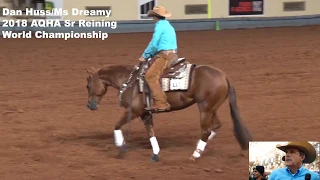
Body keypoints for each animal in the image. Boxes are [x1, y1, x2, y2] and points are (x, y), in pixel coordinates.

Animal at [85, 57, 252, 162]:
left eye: (87, 86)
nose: (89, 105)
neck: (129, 81)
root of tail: (223, 75)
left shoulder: (134, 111)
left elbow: (117, 125)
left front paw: (120, 146)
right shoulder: (145, 113)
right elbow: (151, 133)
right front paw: (155, 153)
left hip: (205, 109)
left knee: (206, 130)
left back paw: (195, 155)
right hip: (211, 108)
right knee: (215, 126)